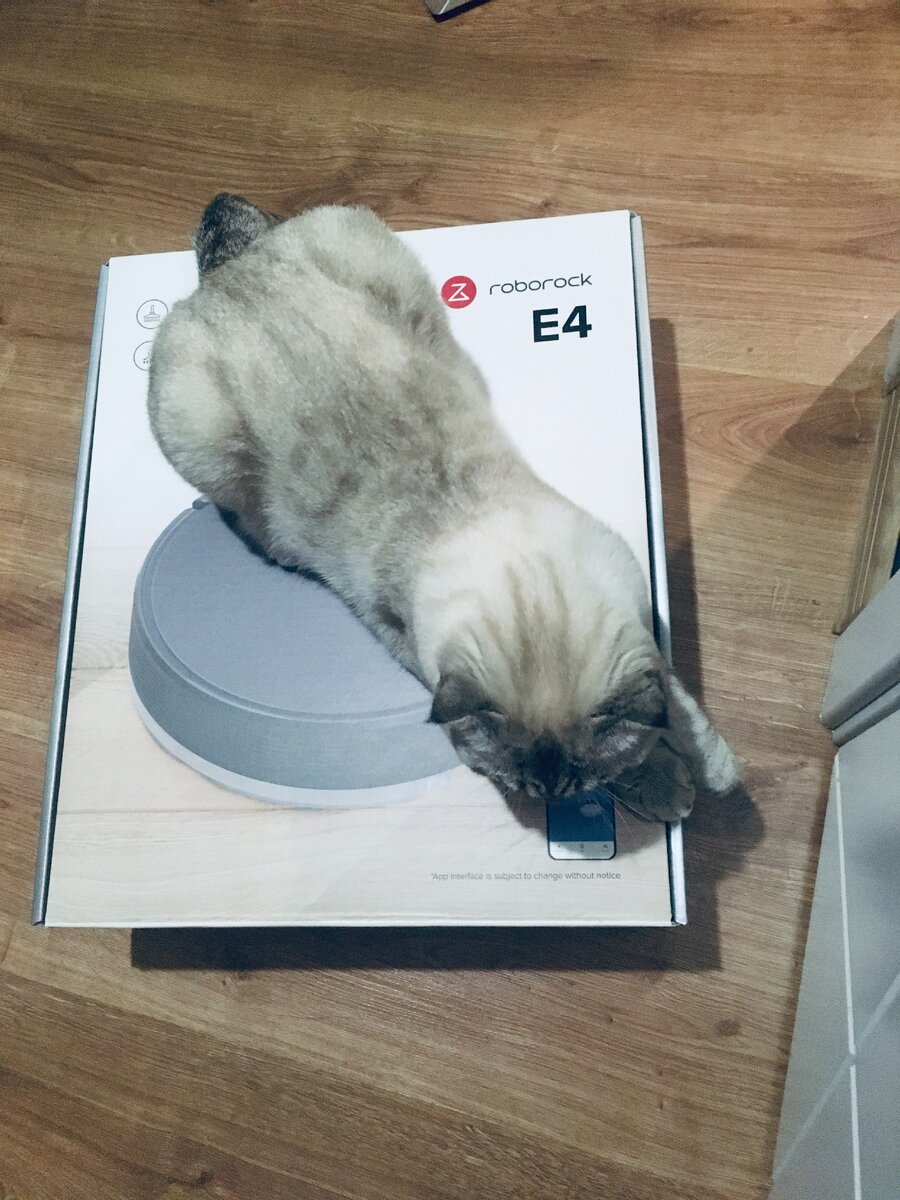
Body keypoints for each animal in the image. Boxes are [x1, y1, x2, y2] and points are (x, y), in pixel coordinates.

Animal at [147, 193, 740, 820]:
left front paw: (709, 770)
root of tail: (228, 271)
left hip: (377, 257)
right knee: (240, 511)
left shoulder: (634, 624)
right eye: (518, 784)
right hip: (201, 435)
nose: (544, 799)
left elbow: (674, 697)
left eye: (573, 782)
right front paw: (666, 786)